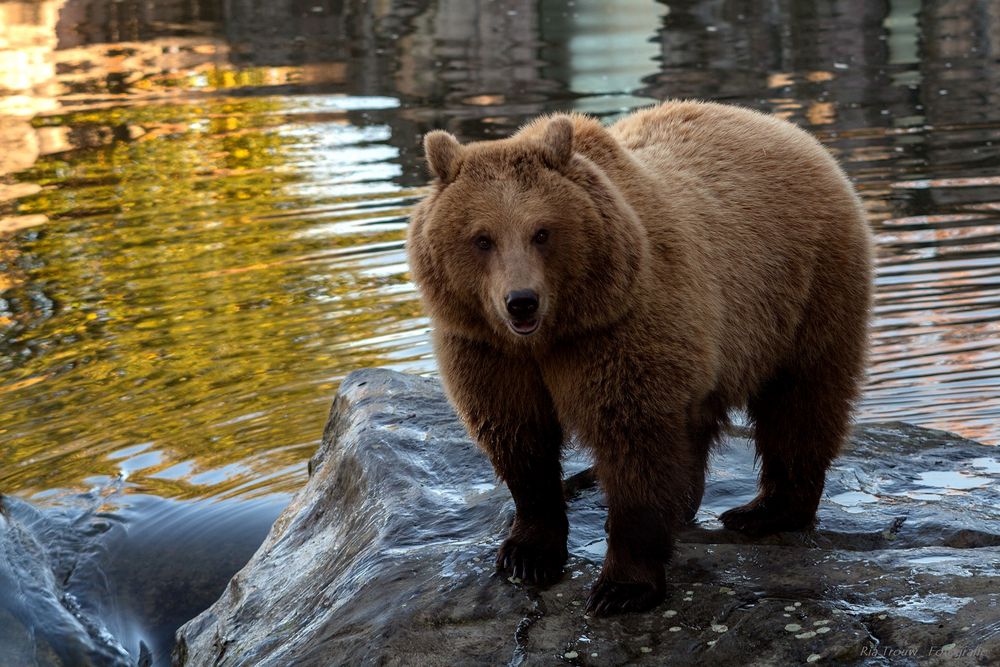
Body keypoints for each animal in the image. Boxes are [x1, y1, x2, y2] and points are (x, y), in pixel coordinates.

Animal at [406, 102, 876, 620]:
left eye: (542, 232)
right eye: (482, 238)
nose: (521, 302)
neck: (552, 334)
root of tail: (785, 127)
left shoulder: (619, 330)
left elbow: (634, 442)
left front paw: (621, 586)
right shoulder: (486, 349)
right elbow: (519, 440)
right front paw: (527, 554)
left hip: (805, 286)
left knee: (801, 400)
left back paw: (764, 512)